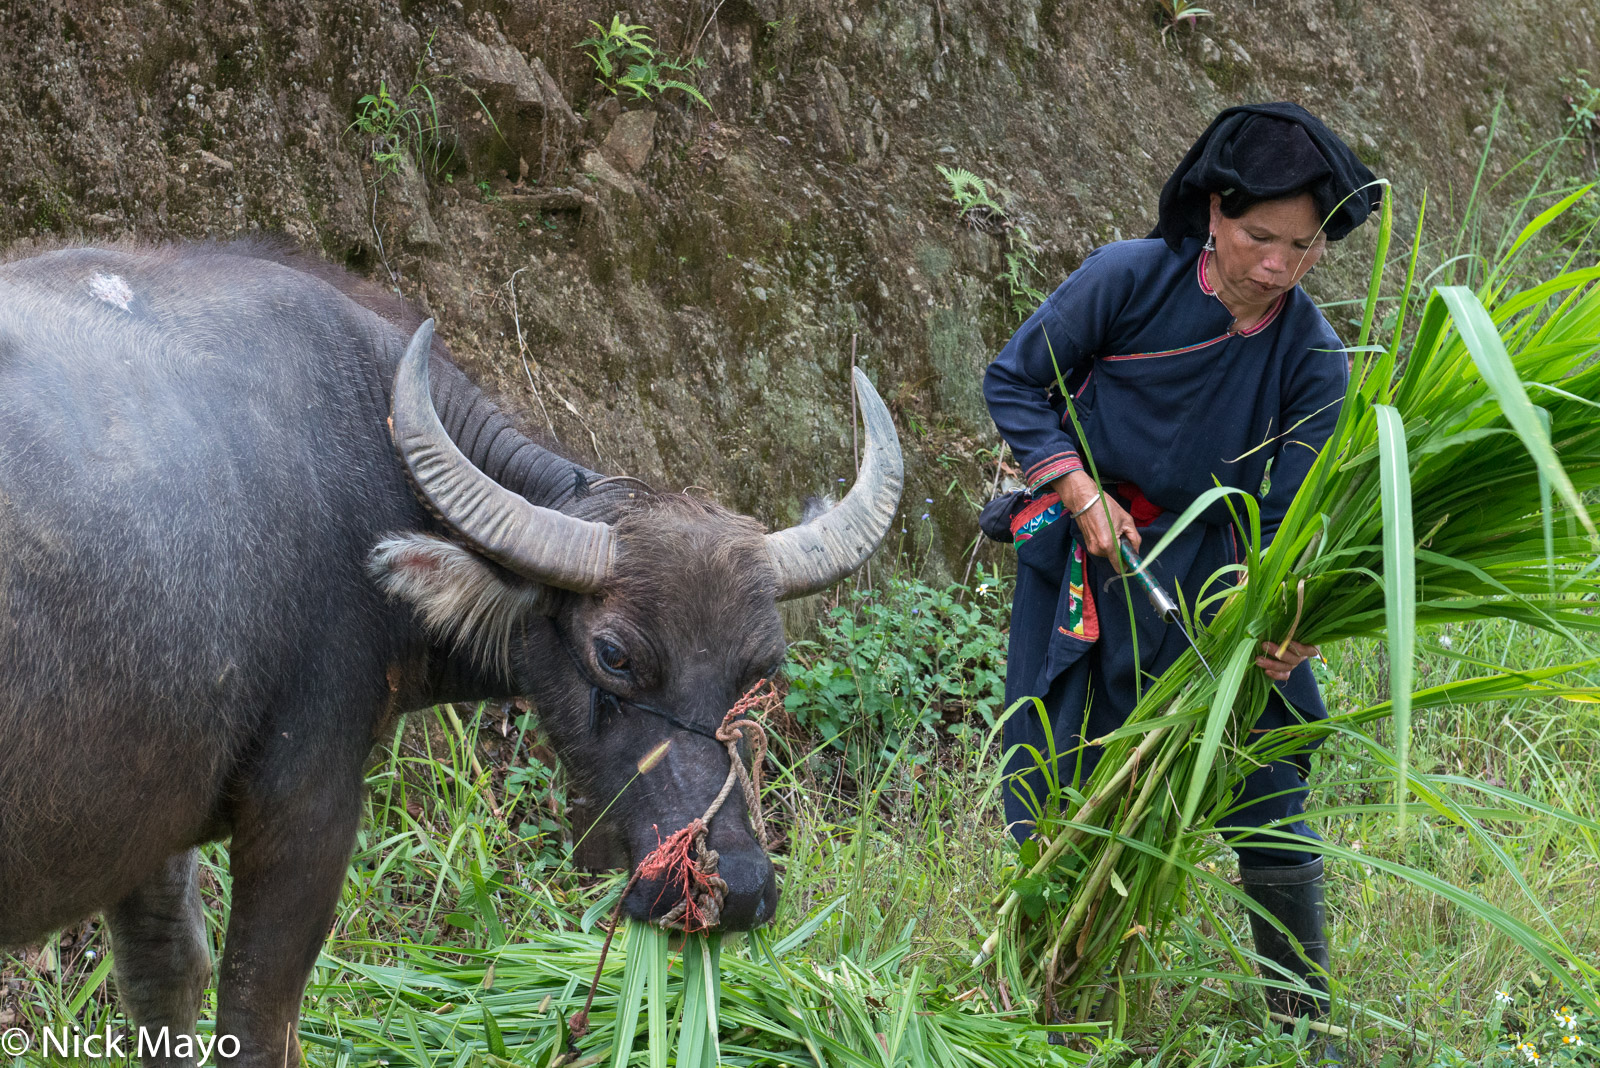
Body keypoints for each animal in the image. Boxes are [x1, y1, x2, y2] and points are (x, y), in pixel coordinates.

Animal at [0, 244, 902, 1068]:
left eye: (764, 668)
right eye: (612, 654)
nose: (737, 888)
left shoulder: (151, 824)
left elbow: (167, 981)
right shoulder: (305, 807)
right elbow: (256, 1022)